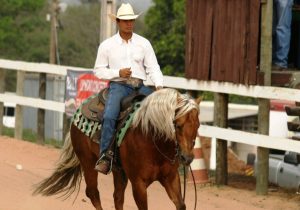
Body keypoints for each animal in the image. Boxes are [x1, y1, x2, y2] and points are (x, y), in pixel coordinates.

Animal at [32, 88, 200, 210]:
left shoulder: (171, 178)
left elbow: (181, 205)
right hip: (88, 163)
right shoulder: (138, 184)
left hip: (119, 171)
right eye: (177, 125)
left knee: (117, 198)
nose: (187, 158)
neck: (150, 139)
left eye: (198, 125)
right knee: (93, 193)